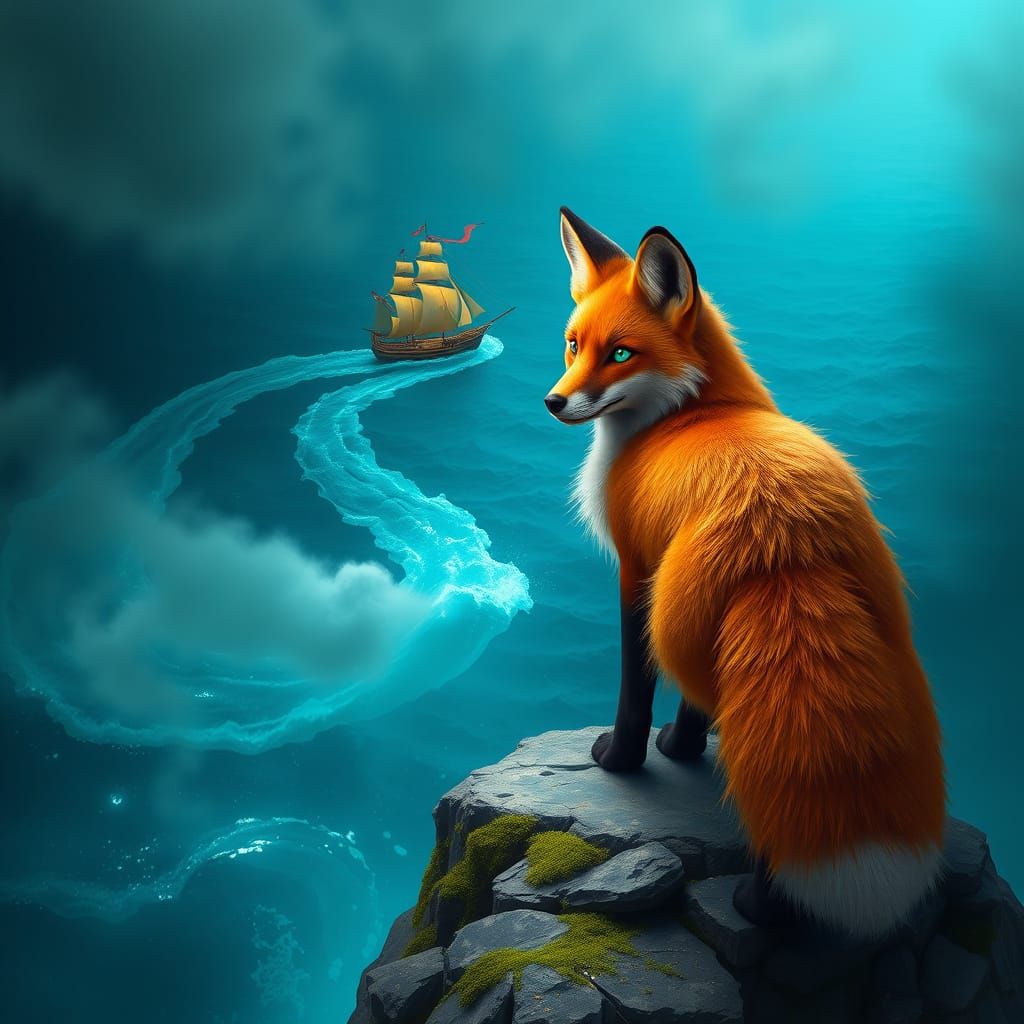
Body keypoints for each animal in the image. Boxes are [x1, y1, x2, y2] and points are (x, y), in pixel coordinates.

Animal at [545, 206, 946, 939]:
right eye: (573, 345)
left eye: (620, 354)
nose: (554, 402)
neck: (691, 410)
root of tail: (786, 537)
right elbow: (688, 707)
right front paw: (680, 750)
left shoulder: (635, 571)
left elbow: (634, 688)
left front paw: (623, 759)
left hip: (677, 623)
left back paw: (759, 912)